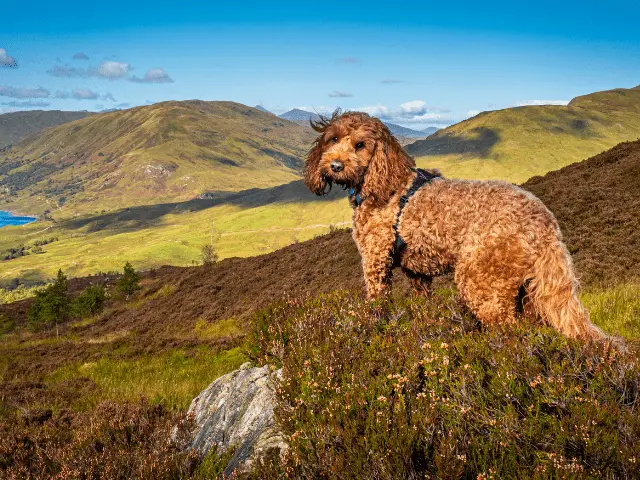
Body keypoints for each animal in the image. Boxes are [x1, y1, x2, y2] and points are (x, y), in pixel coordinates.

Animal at [302, 109, 608, 342]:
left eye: (360, 145)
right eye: (333, 139)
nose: (335, 165)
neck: (386, 181)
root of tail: (545, 223)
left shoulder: (375, 259)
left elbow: (377, 303)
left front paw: (374, 327)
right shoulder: (417, 272)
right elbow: (422, 304)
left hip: (482, 280)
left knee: (510, 332)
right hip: (527, 290)